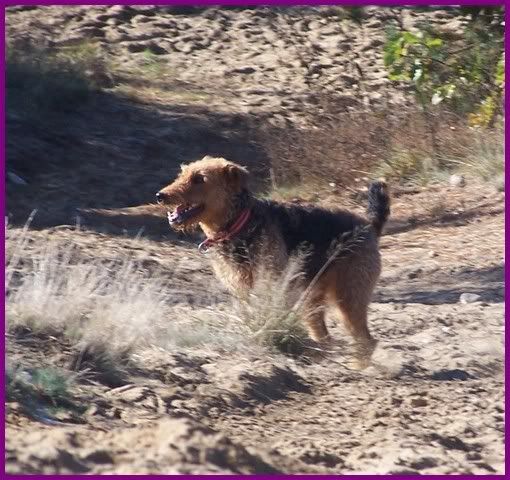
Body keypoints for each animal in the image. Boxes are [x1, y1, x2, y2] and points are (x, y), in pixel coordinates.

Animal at [157, 156, 390, 366]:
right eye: (182, 175)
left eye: (199, 179)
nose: (161, 195)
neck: (239, 223)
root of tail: (369, 226)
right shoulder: (243, 288)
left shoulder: (274, 285)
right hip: (313, 298)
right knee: (326, 337)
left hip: (349, 297)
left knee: (366, 340)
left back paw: (358, 367)